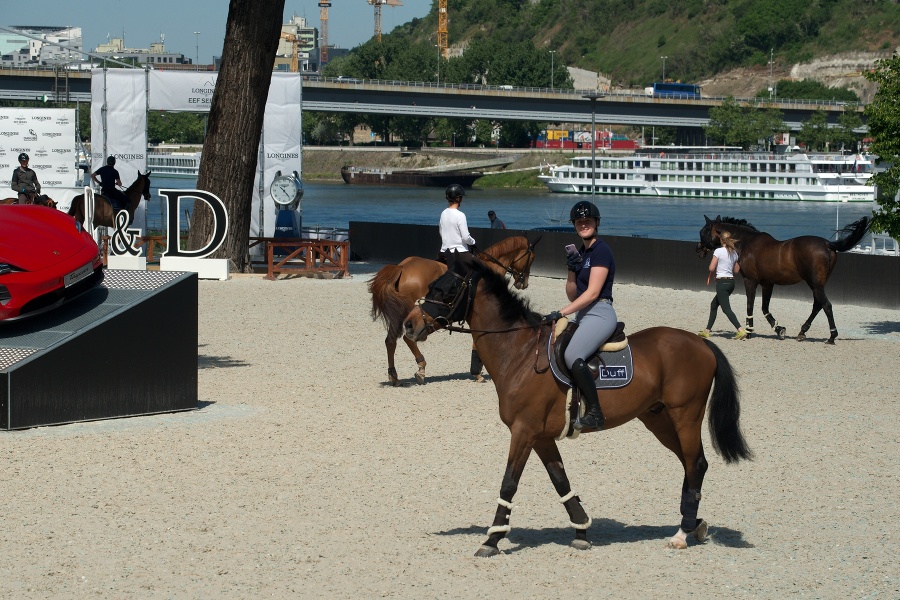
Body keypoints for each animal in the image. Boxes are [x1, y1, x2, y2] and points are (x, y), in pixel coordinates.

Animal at [368, 234, 536, 384]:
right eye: (532, 258)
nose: (523, 283)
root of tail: (402, 266)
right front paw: (477, 372)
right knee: (408, 338)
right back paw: (421, 369)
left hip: (400, 313)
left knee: (390, 341)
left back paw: (394, 376)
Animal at [402, 251, 752, 556]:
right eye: (432, 286)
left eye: (445, 289)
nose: (408, 325)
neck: (519, 352)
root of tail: (701, 343)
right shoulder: (540, 436)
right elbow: (560, 481)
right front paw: (582, 530)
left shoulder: (523, 431)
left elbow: (508, 484)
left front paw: (492, 540)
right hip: (658, 418)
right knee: (691, 464)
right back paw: (695, 524)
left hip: (685, 416)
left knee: (695, 463)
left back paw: (682, 533)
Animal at [696, 214, 872, 344]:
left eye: (702, 231)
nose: (698, 249)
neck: (747, 243)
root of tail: (827, 244)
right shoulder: (767, 284)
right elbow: (764, 308)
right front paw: (778, 329)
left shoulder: (750, 281)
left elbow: (750, 306)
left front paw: (748, 332)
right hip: (818, 285)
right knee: (818, 305)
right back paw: (802, 332)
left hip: (815, 284)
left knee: (826, 305)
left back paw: (831, 337)